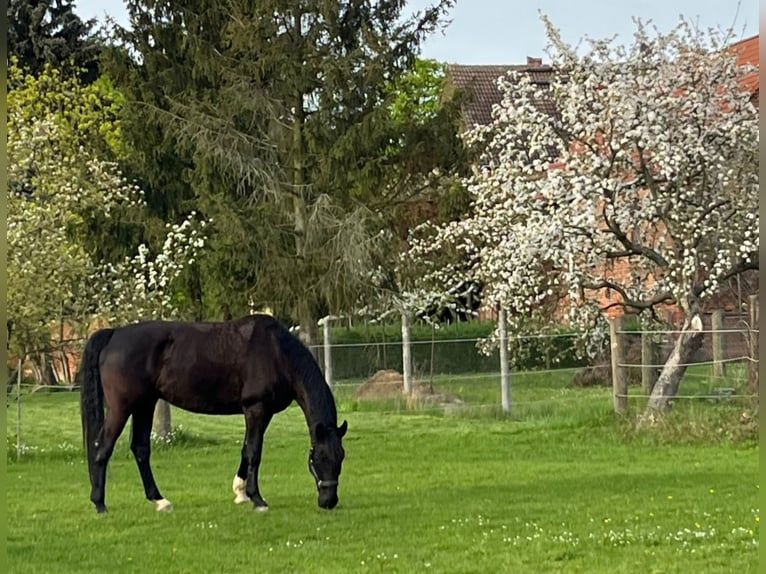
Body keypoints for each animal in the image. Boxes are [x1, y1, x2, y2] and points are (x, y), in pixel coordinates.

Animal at [77, 318, 348, 516]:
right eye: (321, 458)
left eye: (341, 457)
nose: (329, 501)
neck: (277, 352)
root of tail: (114, 334)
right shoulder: (256, 409)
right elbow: (254, 452)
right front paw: (257, 499)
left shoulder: (262, 413)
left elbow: (245, 450)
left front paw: (240, 493)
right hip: (122, 408)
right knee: (103, 448)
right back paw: (100, 504)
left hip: (145, 404)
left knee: (141, 449)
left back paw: (160, 501)